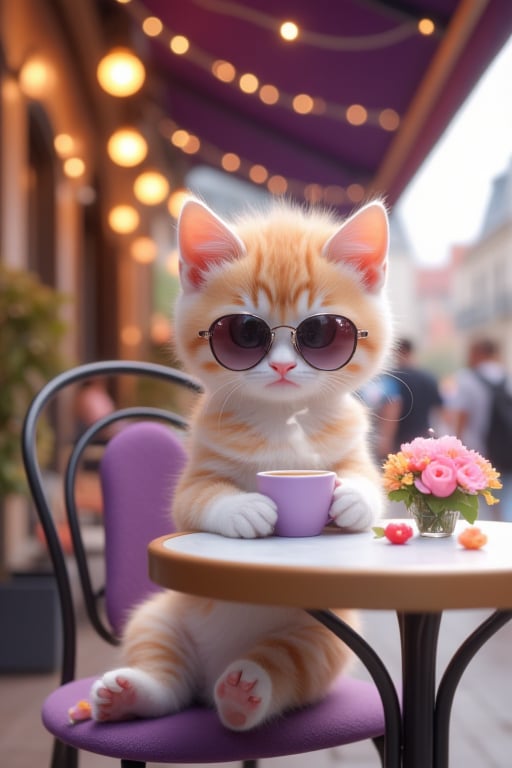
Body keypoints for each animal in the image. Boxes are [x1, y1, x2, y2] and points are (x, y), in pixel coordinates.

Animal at [90, 195, 392, 728]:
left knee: (281, 669)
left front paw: (353, 500)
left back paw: (243, 691)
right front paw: (245, 508)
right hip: (161, 615)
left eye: (322, 332)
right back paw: (131, 694)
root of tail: (210, 675)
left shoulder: (351, 448)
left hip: (320, 641)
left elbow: (367, 483)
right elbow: (201, 497)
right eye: (246, 331)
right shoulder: (196, 474)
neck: (281, 421)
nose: (283, 364)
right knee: (167, 681)